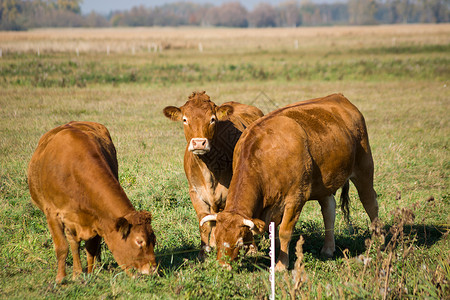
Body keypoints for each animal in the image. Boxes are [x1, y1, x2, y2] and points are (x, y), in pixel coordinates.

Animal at [27, 120, 156, 282]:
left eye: (154, 239)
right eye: (139, 241)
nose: (153, 269)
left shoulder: (99, 219)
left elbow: (91, 247)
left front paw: (90, 274)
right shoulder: (52, 213)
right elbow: (62, 247)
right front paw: (61, 279)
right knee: (73, 244)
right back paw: (76, 272)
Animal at [163, 91, 264, 255]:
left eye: (212, 119)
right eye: (185, 119)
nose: (199, 143)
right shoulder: (195, 193)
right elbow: (205, 223)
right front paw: (204, 253)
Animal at [203, 93, 380, 270]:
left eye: (239, 242)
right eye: (216, 239)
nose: (222, 266)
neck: (267, 156)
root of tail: (339, 97)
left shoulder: (296, 198)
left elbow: (284, 232)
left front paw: (281, 264)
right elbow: (273, 232)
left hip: (364, 169)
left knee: (370, 203)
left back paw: (377, 242)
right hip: (324, 183)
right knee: (329, 209)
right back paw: (328, 249)